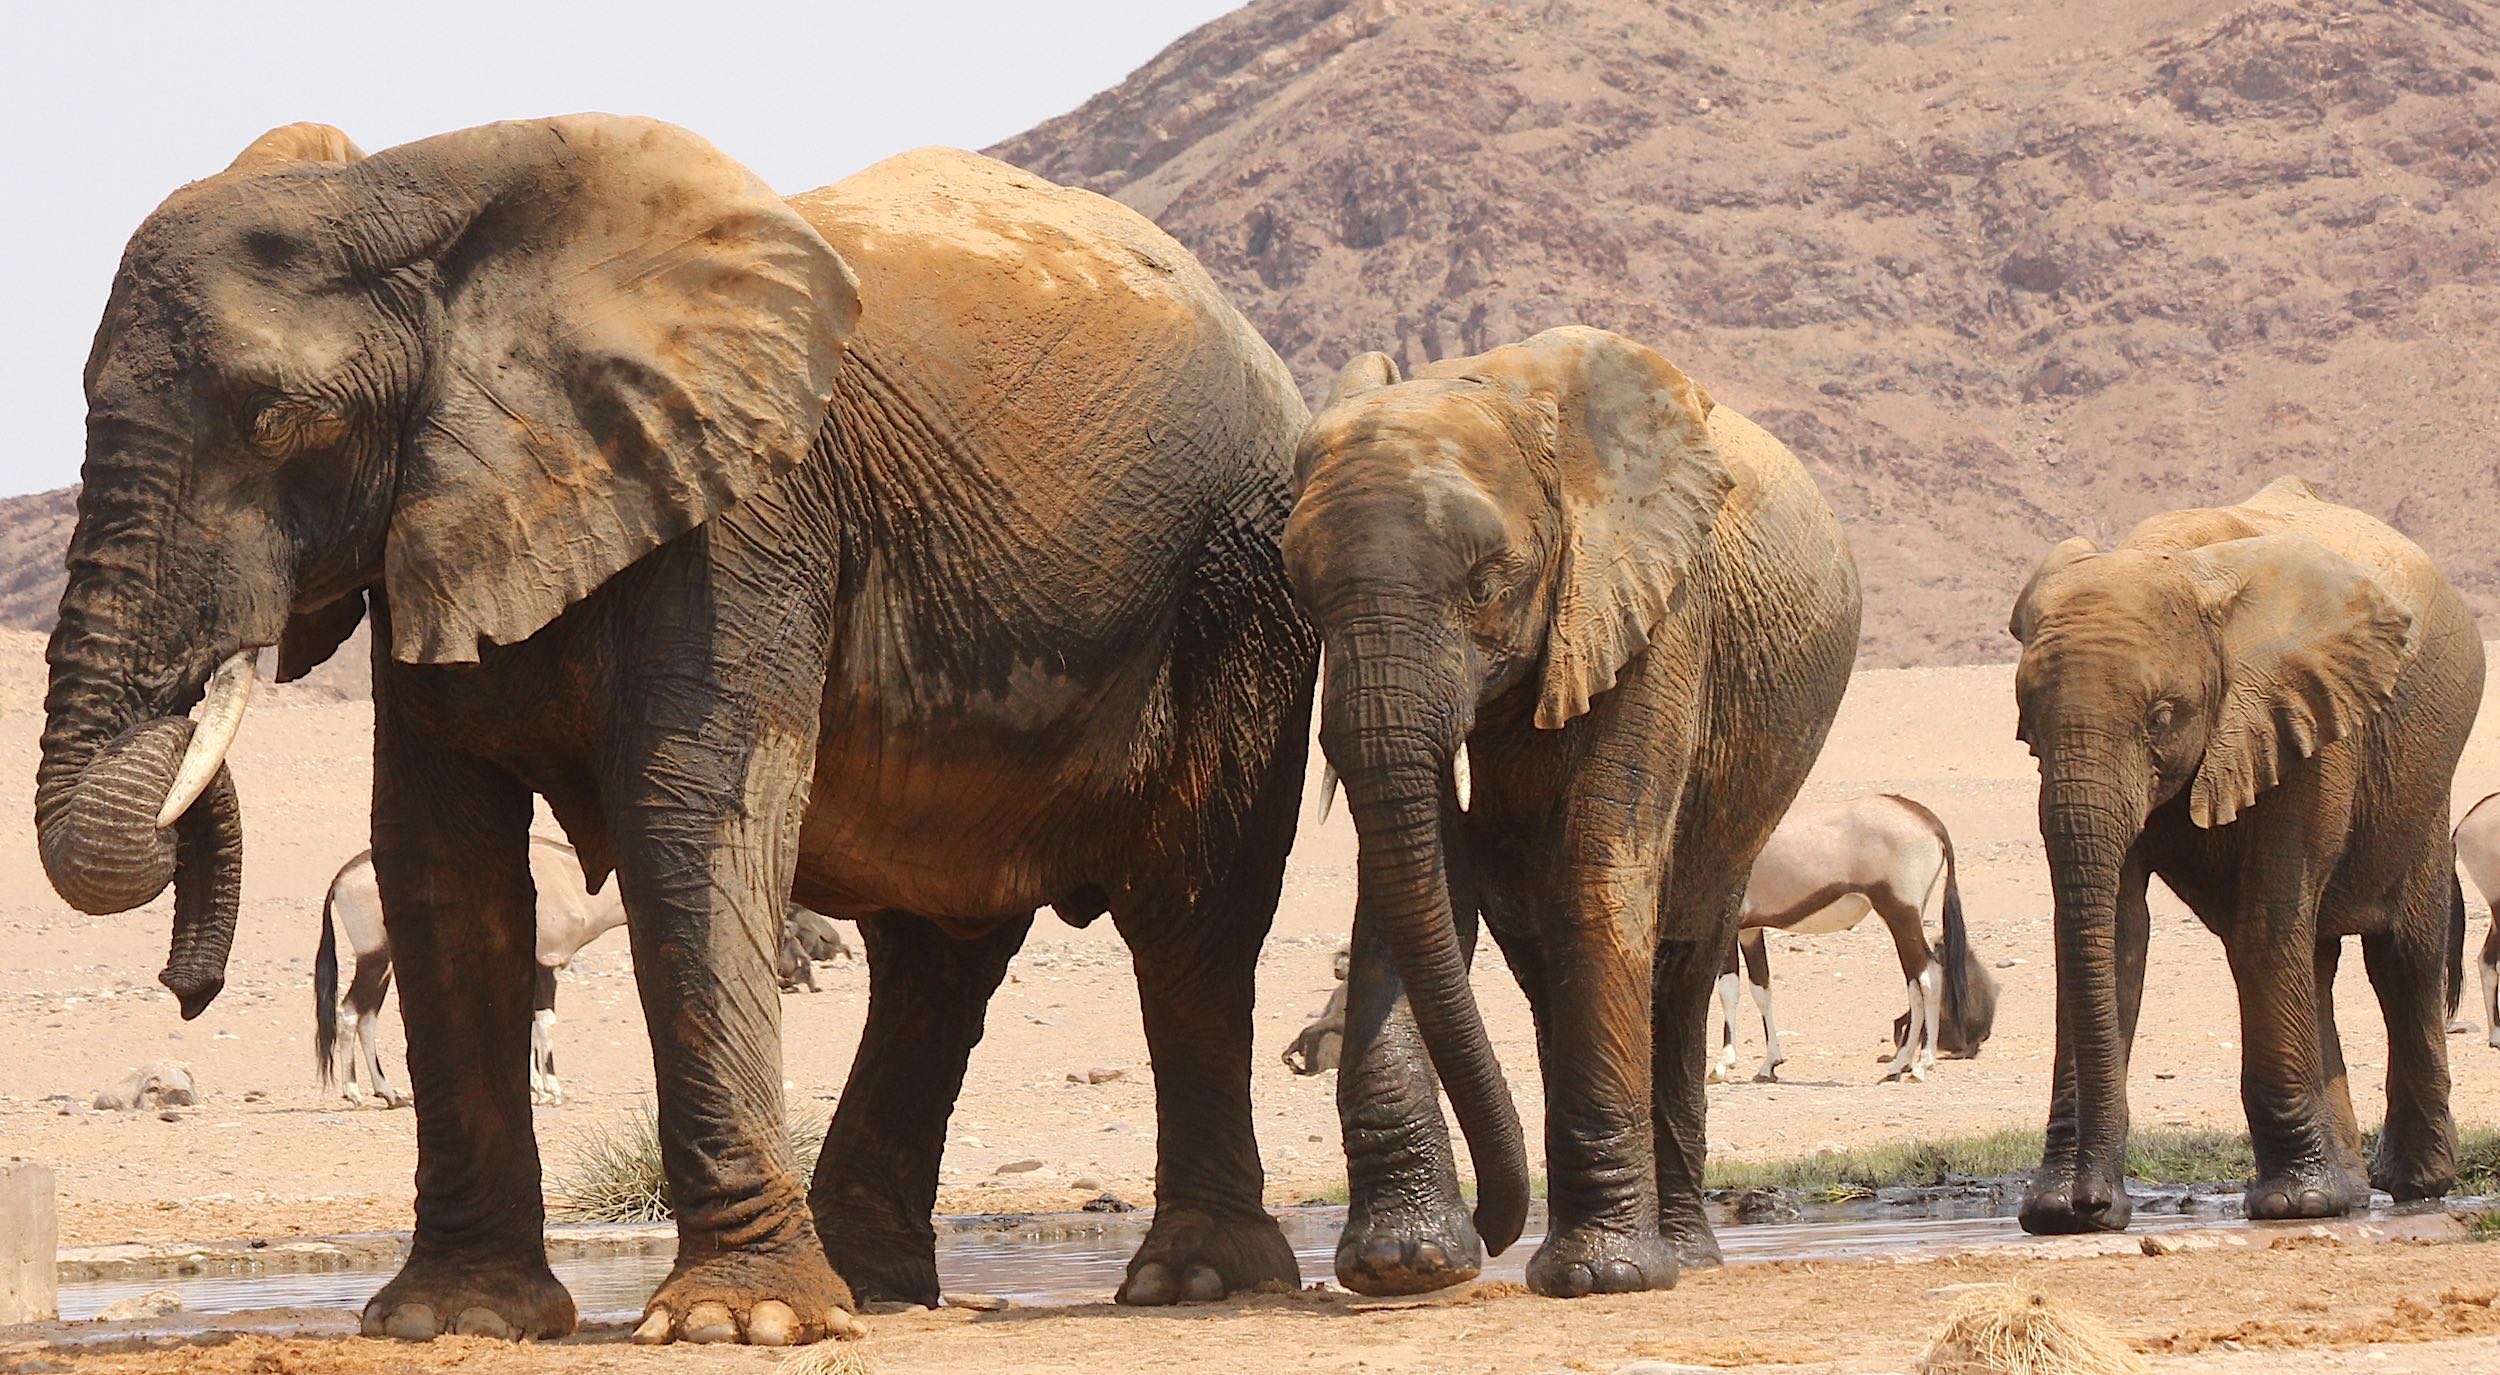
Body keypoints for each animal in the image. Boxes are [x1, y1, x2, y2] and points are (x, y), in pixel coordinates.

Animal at [38, 115, 1316, 1343]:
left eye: (275, 418)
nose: (186, 988)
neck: (427, 200)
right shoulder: (442, 526)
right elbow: (441, 858)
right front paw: (450, 1317)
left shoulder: (742, 509)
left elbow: (688, 816)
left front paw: (735, 1321)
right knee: (937, 955)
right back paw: (872, 1287)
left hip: (1236, 582)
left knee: (1190, 918)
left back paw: (1193, 1280)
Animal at [1283, 326, 1861, 1298]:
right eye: (1306, 595)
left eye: (1484, 586)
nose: (1490, 1230)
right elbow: (1413, 880)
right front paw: (1405, 1264)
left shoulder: (1655, 607)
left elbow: (1596, 866)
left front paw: (1604, 1277)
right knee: (1540, 952)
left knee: (1682, 964)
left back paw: (1682, 1255)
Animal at [2009, 476, 2480, 1234]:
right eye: (2027, 727)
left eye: (2161, 717)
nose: (2091, 1204)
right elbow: (2117, 931)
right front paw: (2057, 1213)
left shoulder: (2307, 718)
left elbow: (2265, 924)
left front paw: (2293, 1207)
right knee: (2314, 960)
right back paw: (2352, 1193)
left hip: (2424, 778)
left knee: (2401, 957)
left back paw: (2413, 1185)